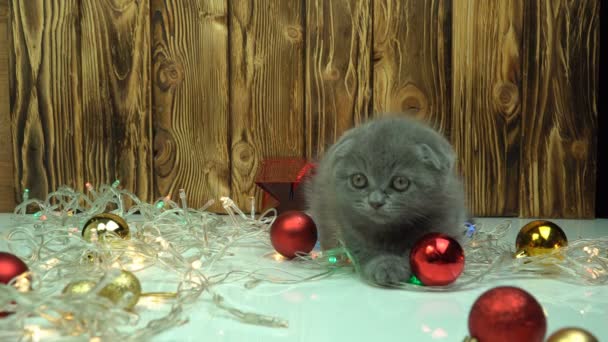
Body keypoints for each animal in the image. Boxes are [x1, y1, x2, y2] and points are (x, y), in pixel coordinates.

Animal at [306, 114, 468, 286]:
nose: (375, 202)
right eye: (358, 179)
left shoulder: (445, 219)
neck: (391, 230)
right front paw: (385, 266)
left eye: (400, 182)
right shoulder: (346, 224)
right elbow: (362, 248)